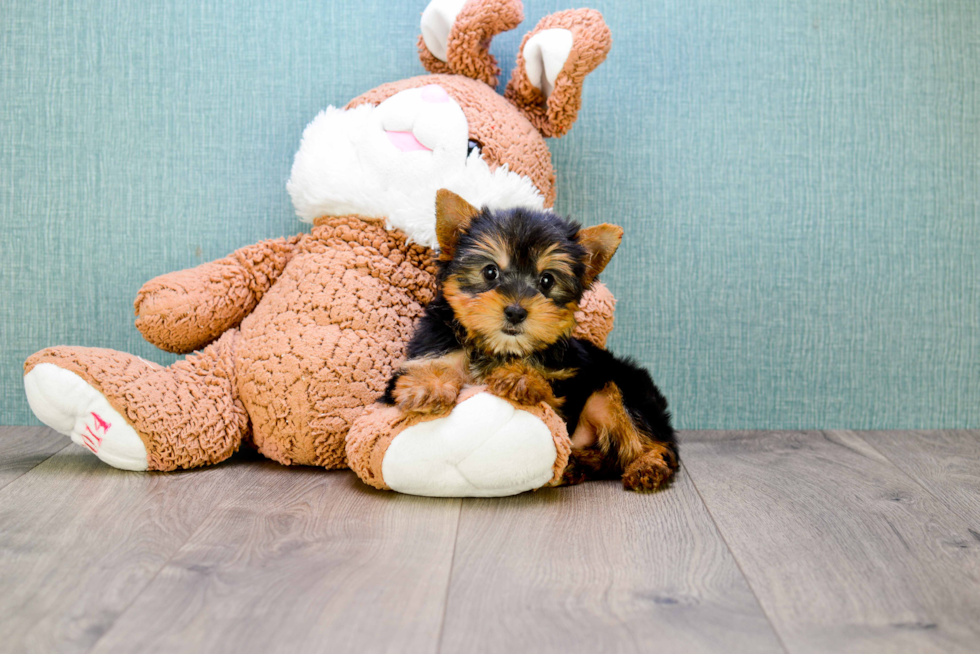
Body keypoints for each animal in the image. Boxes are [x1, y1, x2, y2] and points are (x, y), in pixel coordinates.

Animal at [382, 190, 680, 492]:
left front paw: (520, 376)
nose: (516, 311)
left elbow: (548, 392)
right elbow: (425, 368)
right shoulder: (431, 348)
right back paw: (577, 465)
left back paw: (648, 466)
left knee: (654, 443)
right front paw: (428, 385)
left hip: (623, 390)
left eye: (547, 280)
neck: (497, 348)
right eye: (490, 272)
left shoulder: (564, 387)